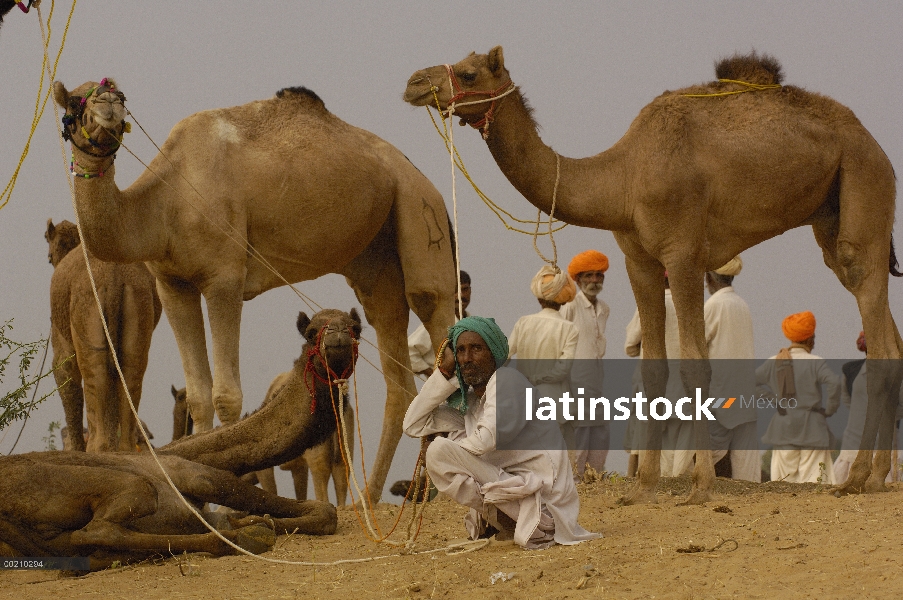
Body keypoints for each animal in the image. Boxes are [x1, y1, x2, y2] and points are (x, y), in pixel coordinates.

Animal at [0, 308, 360, 568]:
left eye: (356, 328)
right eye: (312, 332)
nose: (338, 334)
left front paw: (255, 522)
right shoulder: (199, 476)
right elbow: (324, 511)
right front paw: (259, 523)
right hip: (121, 487)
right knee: (97, 529)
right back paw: (248, 537)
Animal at [44, 219, 162, 450]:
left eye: (49, 254)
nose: (50, 258)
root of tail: (115, 278)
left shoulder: (61, 338)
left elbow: (64, 371)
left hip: (87, 304)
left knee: (94, 371)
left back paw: (97, 449)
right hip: (140, 303)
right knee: (131, 368)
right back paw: (124, 450)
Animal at [404, 49, 903, 504]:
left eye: (469, 72)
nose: (414, 82)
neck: (622, 178)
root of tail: (873, 143)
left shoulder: (683, 254)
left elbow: (695, 365)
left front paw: (700, 487)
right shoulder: (637, 260)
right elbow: (654, 367)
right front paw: (643, 487)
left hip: (865, 181)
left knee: (871, 310)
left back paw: (857, 480)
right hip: (832, 216)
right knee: (883, 327)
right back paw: (878, 478)